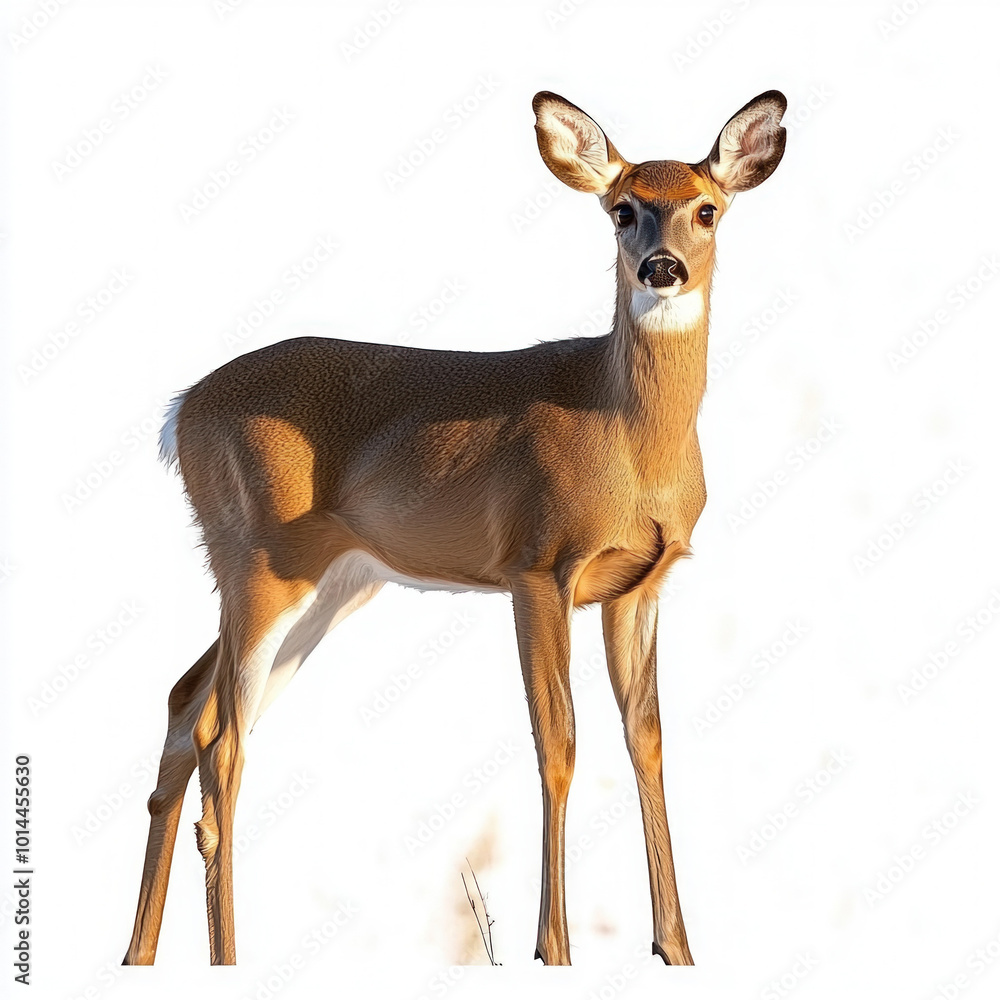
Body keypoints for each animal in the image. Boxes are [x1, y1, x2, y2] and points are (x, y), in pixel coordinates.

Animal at [122, 88, 787, 968]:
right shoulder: (536, 564)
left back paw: (138, 955)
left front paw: (675, 949)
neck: (626, 432)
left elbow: (646, 738)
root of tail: (181, 409)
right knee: (222, 737)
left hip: (332, 581)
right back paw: (228, 955)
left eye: (706, 209)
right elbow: (558, 743)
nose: (662, 268)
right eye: (622, 210)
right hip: (257, 555)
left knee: (184, 700)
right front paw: (552, 950)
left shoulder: (638, 584)